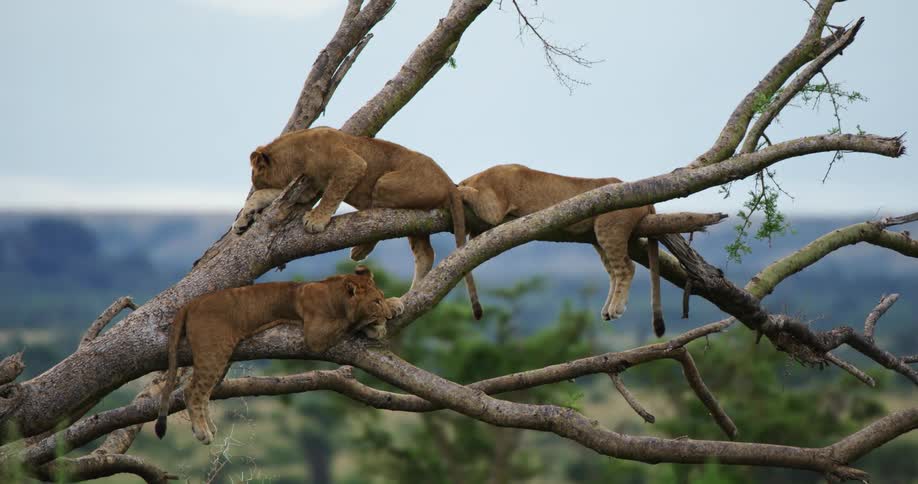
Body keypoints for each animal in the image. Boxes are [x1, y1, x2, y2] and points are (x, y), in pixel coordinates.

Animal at [154, 266, 402, 444]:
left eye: (380, 297)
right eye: (375, 302)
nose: (388, 317)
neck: (334, 294)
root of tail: (191, 303)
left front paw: (395, 304)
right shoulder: (315, 335)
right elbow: (351, 323)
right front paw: (376, 325)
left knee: (204, 392)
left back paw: (209, 427)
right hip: (213, 350)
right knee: (192, 390)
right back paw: (202, 432)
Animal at [231, 127, 482, 319]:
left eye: (256, 178)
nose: (252, 185)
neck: (297, 154)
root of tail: (448, 181)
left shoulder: (351, 165)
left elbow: (332, 194)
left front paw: (316, 220)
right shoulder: (305, 187)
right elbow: (263, 196)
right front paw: (242, 221)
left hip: (385, 184)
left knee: (378, 220)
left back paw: (361, 250)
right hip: (413, 219)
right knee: (425, 253)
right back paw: (409, 294)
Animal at [458, 164, 665, 337]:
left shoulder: (493, 208)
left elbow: (470, 194)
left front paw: (459, 190)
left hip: (609, 229)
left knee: (626, 268)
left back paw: (616, 308)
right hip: (600, 239)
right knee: (614, 272)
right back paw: (608, 309)